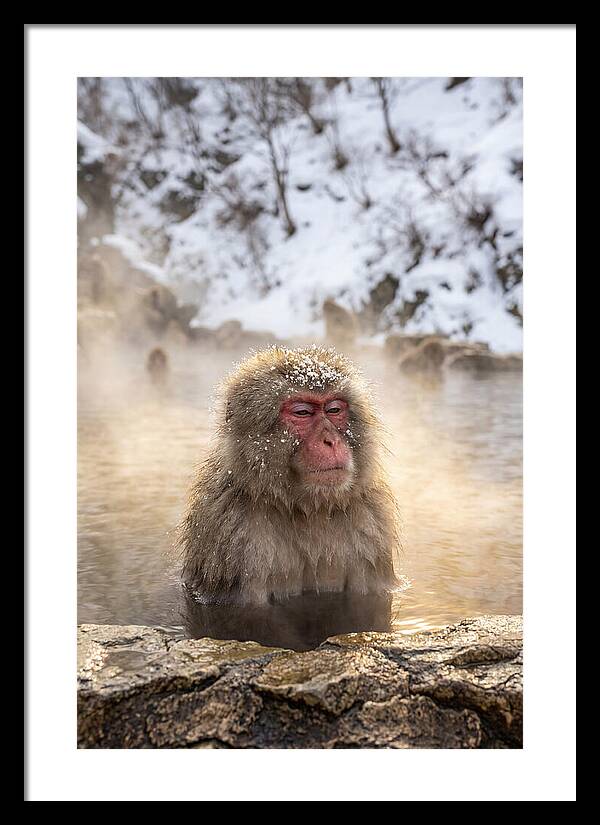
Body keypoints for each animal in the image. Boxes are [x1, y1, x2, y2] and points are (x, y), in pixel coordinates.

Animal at [180, 345, 400, 605]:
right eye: (302, 412)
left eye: (334, 409)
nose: (331, 441)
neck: (308, 509)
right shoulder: (232, 534)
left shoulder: (371, 525)